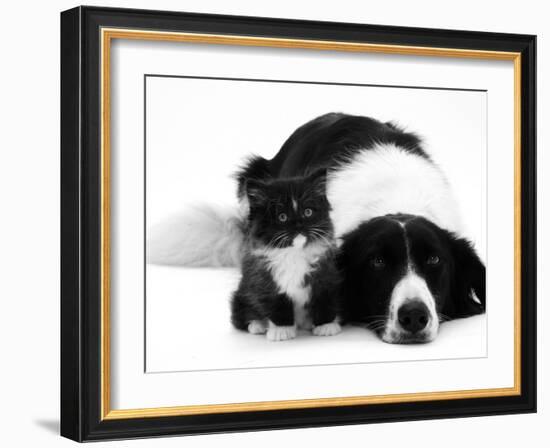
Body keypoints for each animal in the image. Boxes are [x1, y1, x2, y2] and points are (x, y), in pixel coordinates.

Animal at [231, 170, 342, 342]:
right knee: (241, 316)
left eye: (307, 212)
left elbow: (324, 298)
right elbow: (277, 304)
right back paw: (258, 325)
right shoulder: (264, 280)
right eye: (282, 217)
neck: (294, 253)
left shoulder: (326, 274)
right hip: (241, 293)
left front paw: (326, 325)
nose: (299, 225)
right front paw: (281, 330)